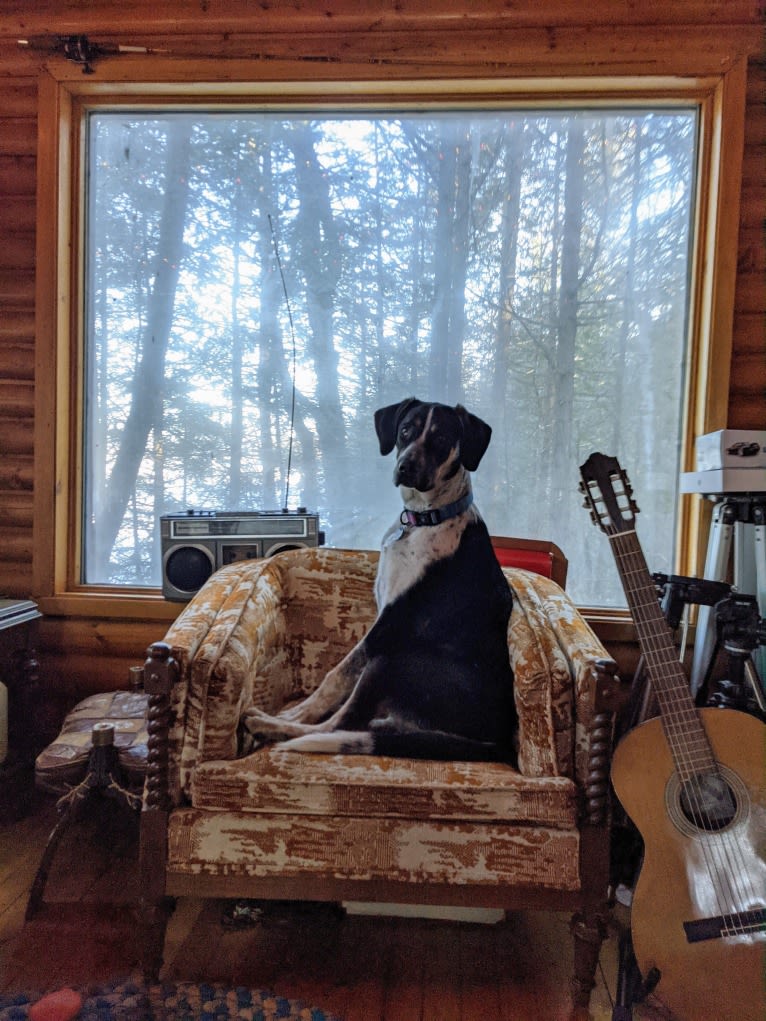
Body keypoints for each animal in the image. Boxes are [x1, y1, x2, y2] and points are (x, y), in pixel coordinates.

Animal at [244, 394, 522, 763]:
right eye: (405, 430)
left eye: (442, 439)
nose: (406, 467)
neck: (426, 518)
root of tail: (500, 744)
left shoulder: (390, 622)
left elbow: (336, 676)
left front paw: (297, 712)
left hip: (394, 658)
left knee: (338, 725)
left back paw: (270, 725)